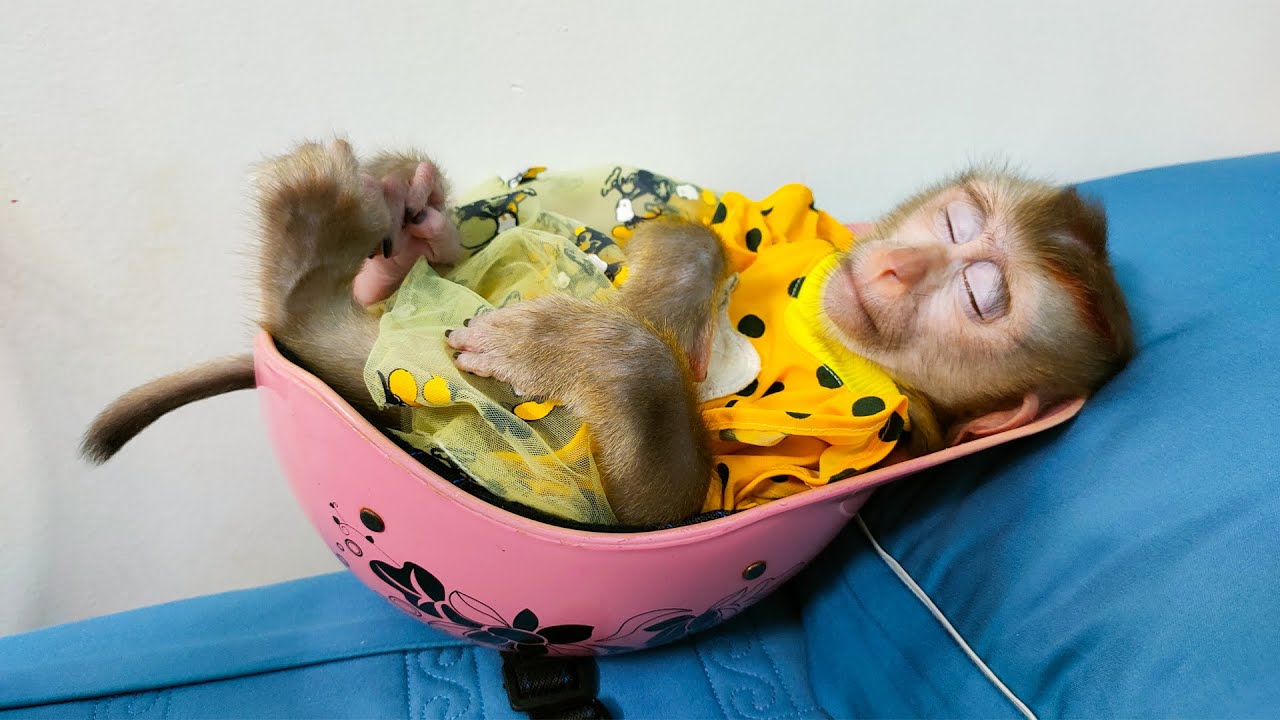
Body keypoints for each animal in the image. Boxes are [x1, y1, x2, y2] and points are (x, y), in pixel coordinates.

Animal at [80, 139, 1133, 526]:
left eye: (983, 298)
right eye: (955, 228)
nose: (892, 271)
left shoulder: (860, 436)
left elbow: (661, 508)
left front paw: (602, 348)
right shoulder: (797, 224)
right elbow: (707, 220)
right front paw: (678, 282)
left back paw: (321, 280)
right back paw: (378, 245)